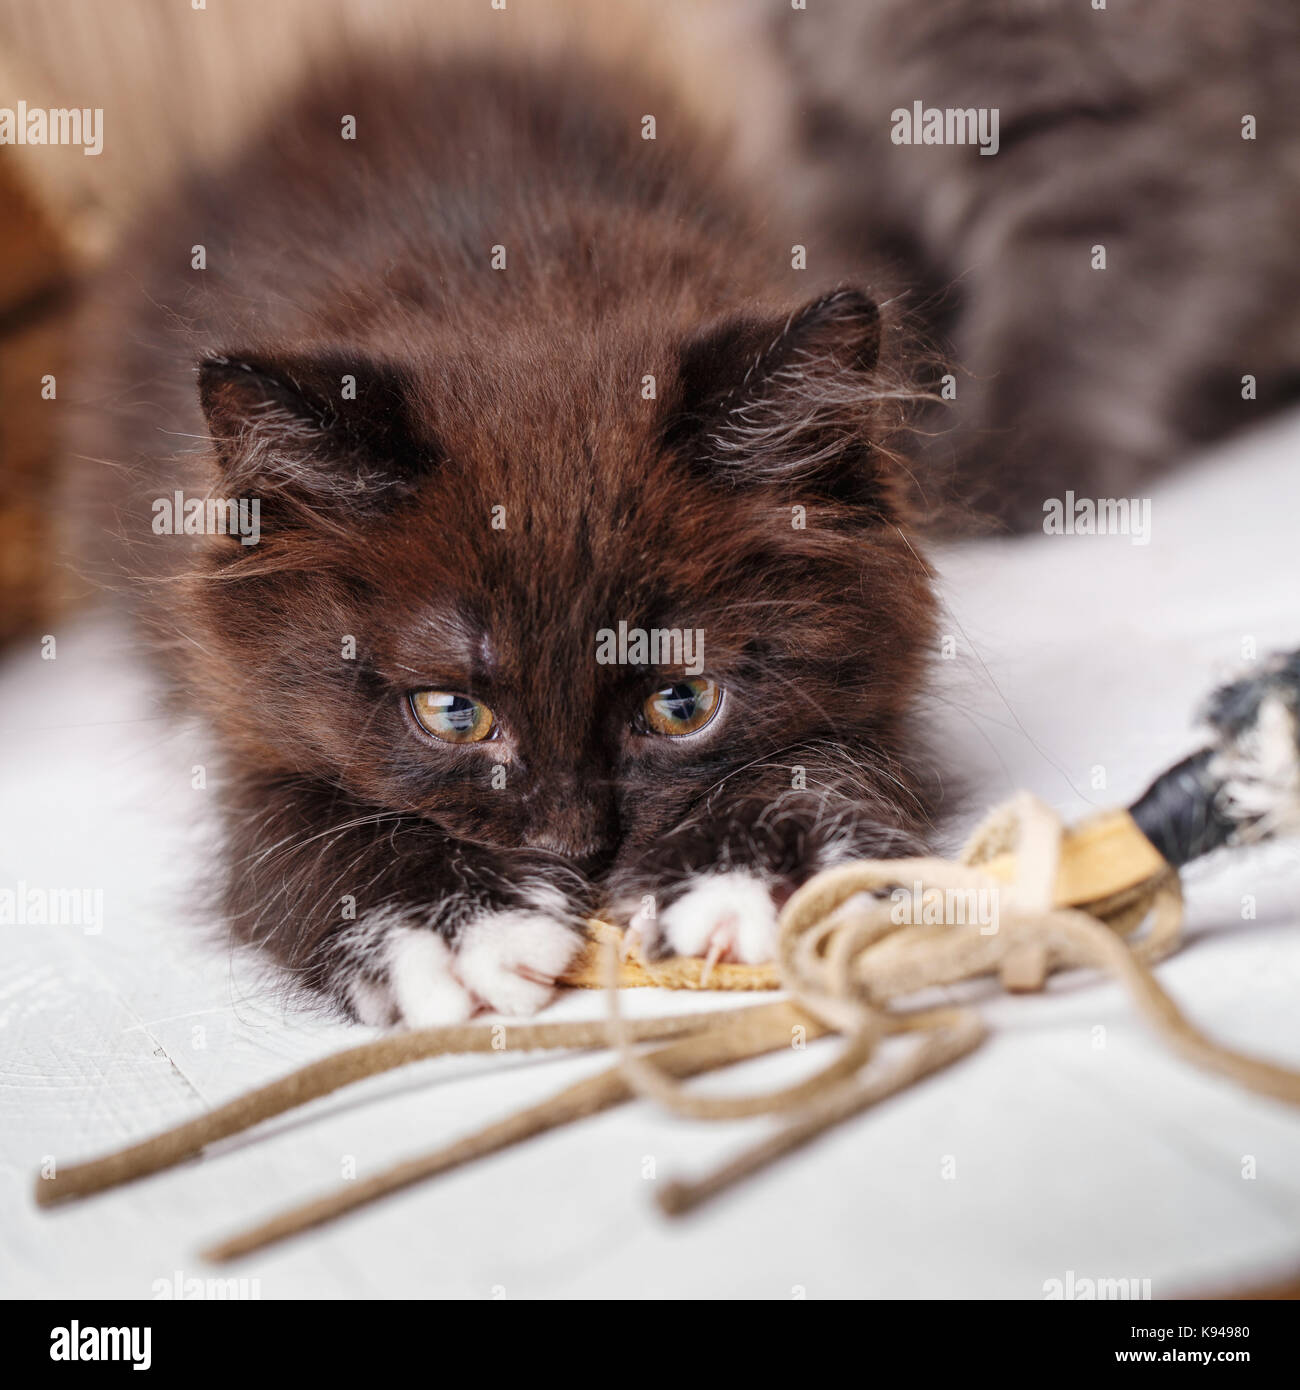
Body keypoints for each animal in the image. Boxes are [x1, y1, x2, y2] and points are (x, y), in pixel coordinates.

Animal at [68, 56, 934, 1023]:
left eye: (682, 703)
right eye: (453, 712)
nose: (575, 853)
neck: (518, 287)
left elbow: (835, 754)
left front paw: (751, 868)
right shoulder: (237, 708)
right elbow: (291, 817)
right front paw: (453, 928)